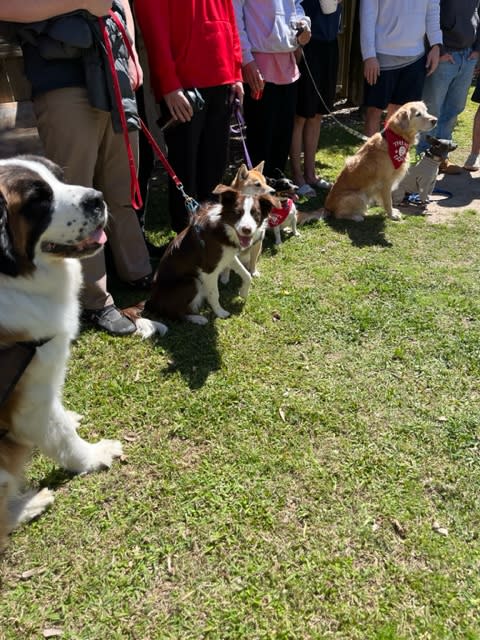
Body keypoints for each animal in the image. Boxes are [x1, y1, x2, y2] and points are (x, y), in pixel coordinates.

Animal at [0, 156, 155, 552]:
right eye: (38, 200)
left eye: (58, 176)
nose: (97, 198)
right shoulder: (28, 399)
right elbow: (62, 438)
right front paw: (95, 455)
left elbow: (59, 420)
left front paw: (68, 417)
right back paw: (30, 504)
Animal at [145, 188, 274, 322]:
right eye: (237, 212)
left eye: (256, 214)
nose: (247, 230)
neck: (223, 229)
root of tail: (151, 302)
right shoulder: (209, 270)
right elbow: (214, 294)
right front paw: (220, 312)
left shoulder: (228, 256)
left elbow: (246, 274)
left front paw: (243, 292)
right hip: (191, 281)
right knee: (176, 314)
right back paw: (198, 319)